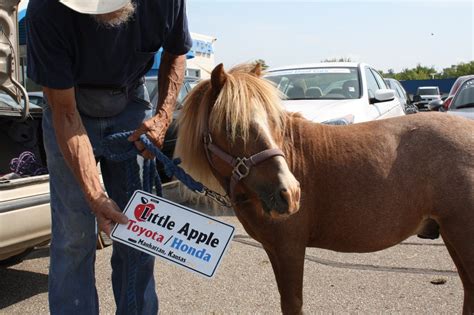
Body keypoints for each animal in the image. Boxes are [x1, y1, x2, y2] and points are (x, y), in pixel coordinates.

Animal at [175, 63, 474, 314]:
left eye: (274, 121)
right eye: (230, 127)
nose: (290, 193)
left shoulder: (289, 248)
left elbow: (292, 303)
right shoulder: (274, 248)